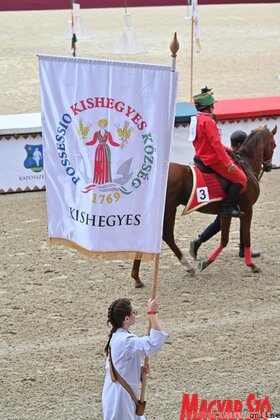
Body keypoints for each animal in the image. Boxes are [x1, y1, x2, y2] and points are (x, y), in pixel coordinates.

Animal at [132, 124, 276, 288]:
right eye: (274, 144)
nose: (270, 165)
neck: (245, 166)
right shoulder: (247, 209)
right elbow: (245, 237)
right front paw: (252, 265)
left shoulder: (226, 213)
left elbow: (224, 239)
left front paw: (206, 262)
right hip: (169, 209)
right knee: (167, 235)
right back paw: (187, 265)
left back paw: (137, 277)